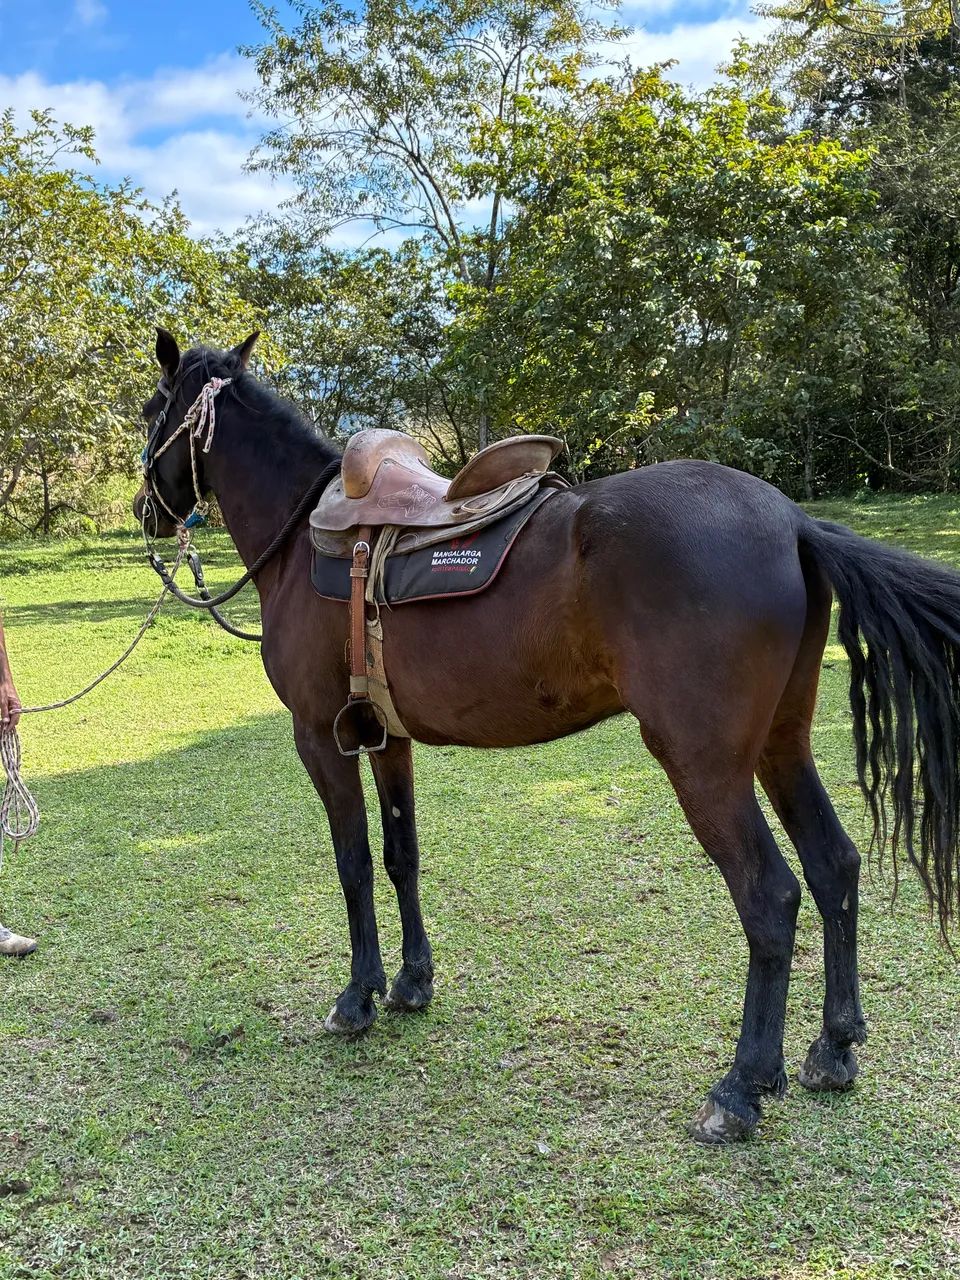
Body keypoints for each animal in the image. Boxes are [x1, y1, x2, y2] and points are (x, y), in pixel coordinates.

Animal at [134, 328, 960, 1144]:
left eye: (150, 411)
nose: (144, 510)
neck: (309, 540)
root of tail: (792, 520)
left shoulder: (319, 737)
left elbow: (354, 865)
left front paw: (358, 997)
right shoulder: (387, 738)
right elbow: (402, 856)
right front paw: (411, 982)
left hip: (705, 766)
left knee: (771, 897)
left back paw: (741, 1087)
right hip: (781, 745)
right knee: (834, 866)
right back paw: (834, 1049)